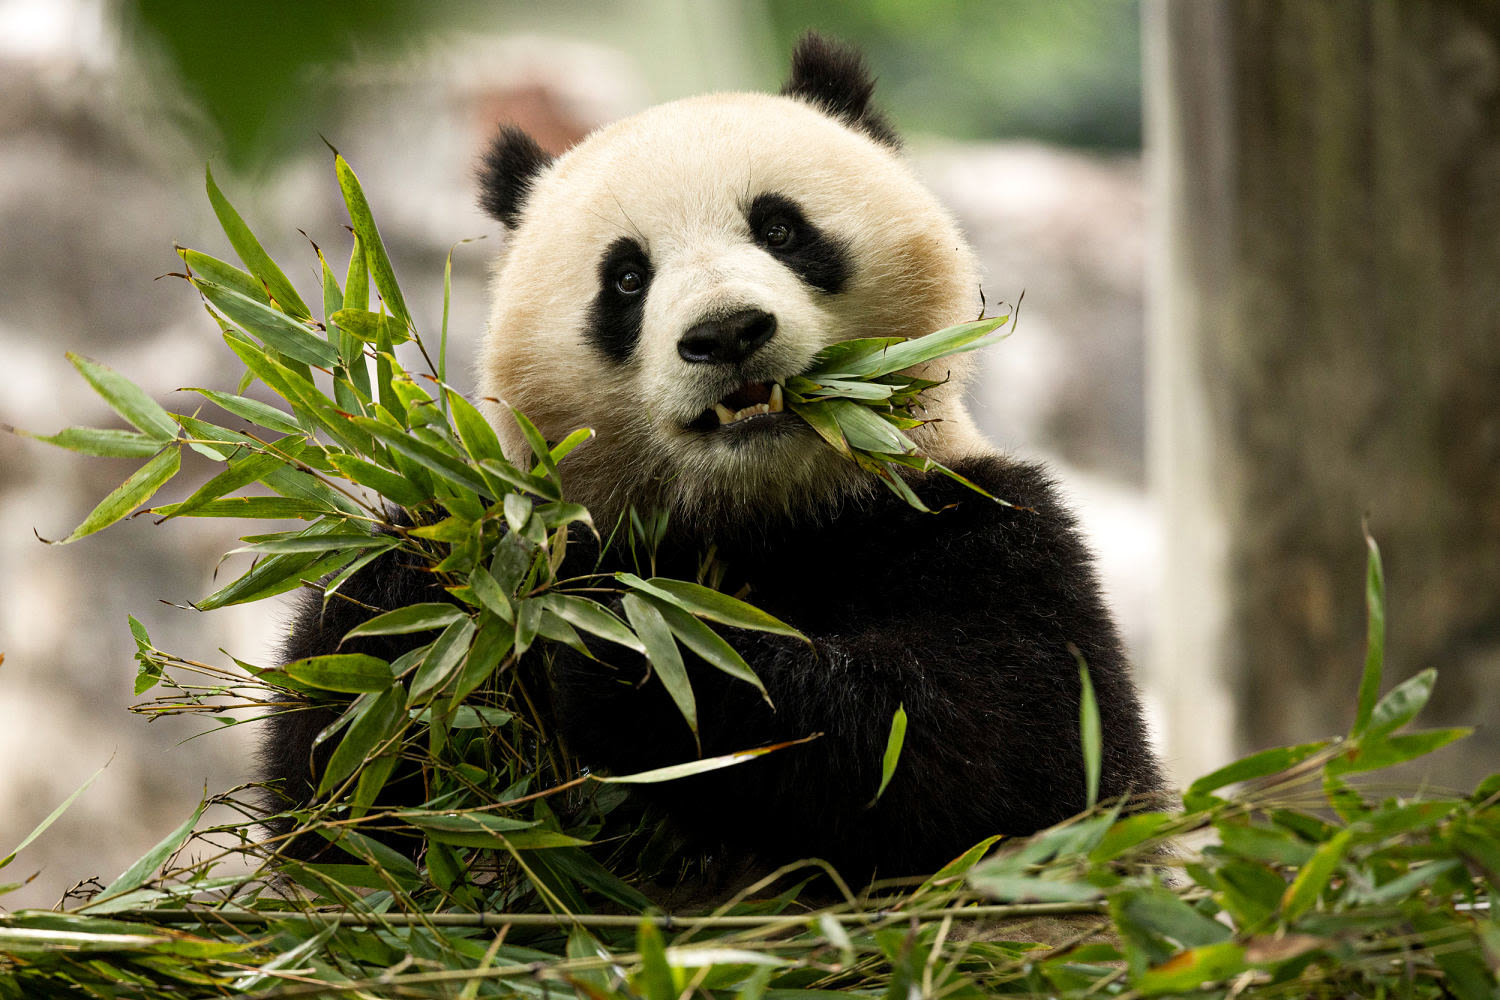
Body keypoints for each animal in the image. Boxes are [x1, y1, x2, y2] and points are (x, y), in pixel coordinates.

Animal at [264, 35, 1164, 887]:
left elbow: (1006, 753)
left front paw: (633, 650)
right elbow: (342, 802)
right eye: (627, 277)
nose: (727, 333)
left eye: (781, 229)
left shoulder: (981, 525)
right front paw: (431, 583)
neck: (759, 511)